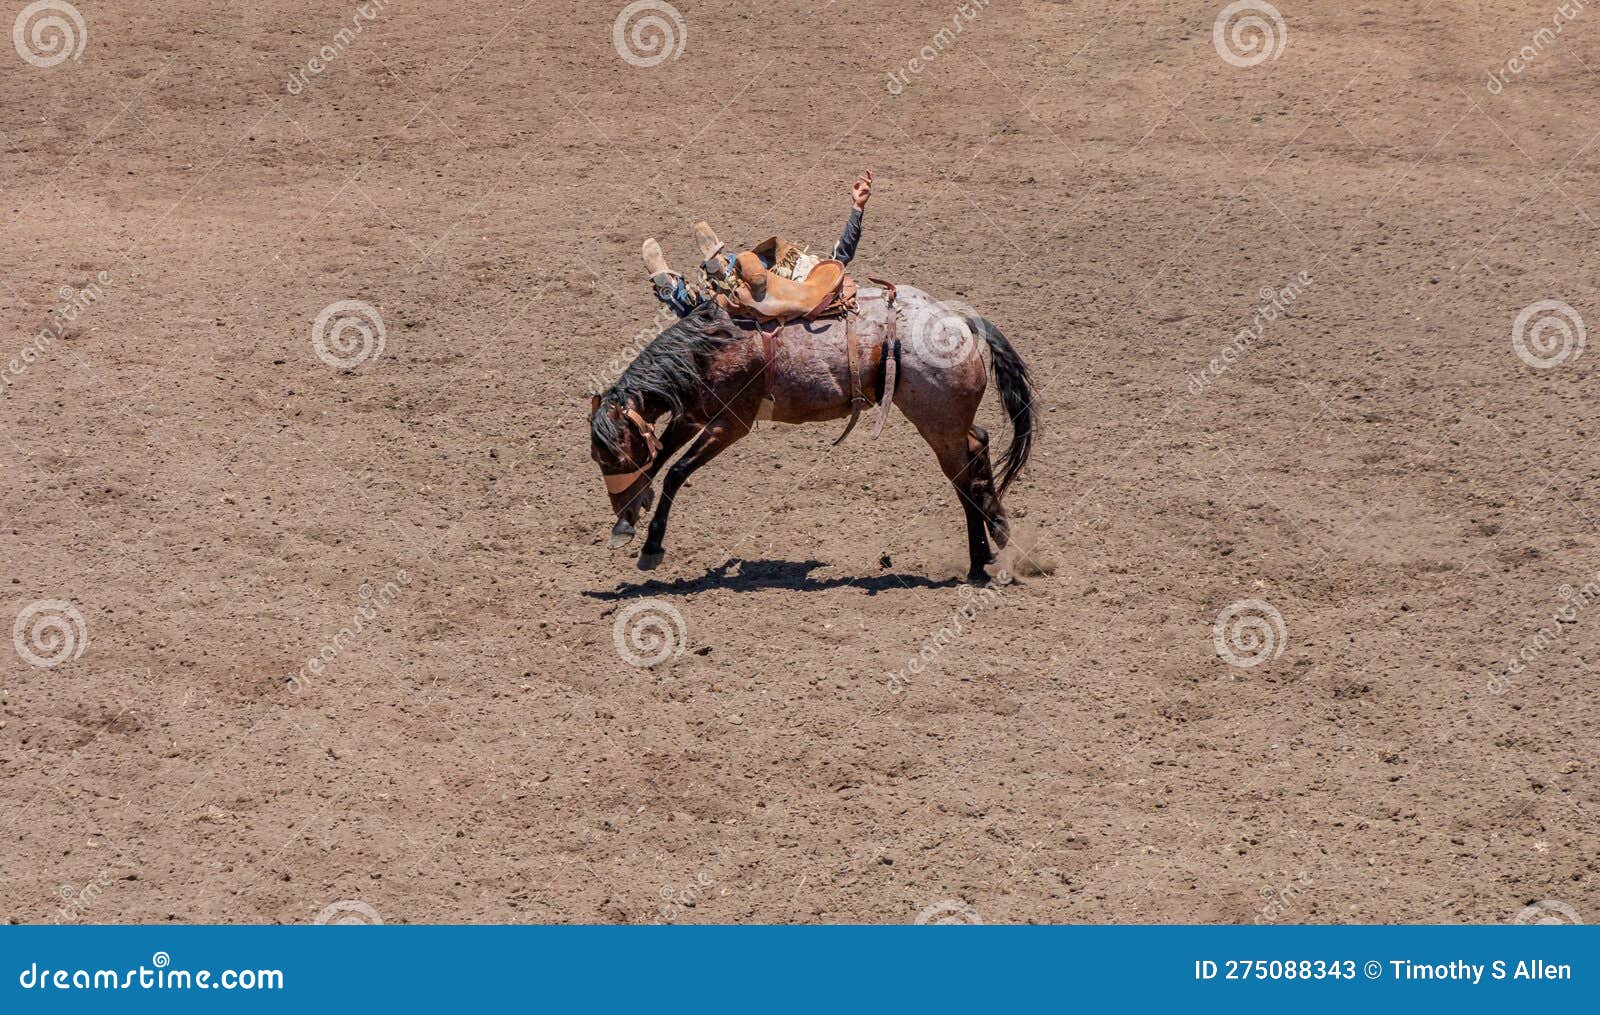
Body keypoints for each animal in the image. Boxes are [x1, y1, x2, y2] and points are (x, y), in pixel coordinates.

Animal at [592, 288, 1036, 579]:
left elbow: (676, 472)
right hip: (948, 421)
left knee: (963, 479)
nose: (621, 508)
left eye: (613, 455)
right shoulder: (692, 414)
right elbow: (660, 459)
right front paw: (625, 526)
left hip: (938, 424)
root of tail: (959, 321)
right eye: (599, 457)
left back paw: (981, 559)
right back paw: (991, 542)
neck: (711, 348)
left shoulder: (729, 423)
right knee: (978, 445)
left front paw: (650, 546)